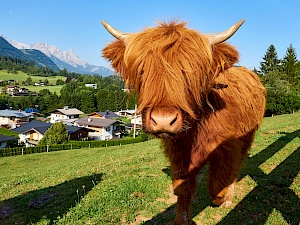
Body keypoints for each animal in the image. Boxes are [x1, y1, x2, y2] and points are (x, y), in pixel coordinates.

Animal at [102, 19, 266, 225]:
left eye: (189, 72)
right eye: (142, 71)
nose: (163, 120)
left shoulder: (231, 146)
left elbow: (219, 180)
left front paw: (222, 198)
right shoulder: (178, 153)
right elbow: (183, 188)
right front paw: (182, 219)